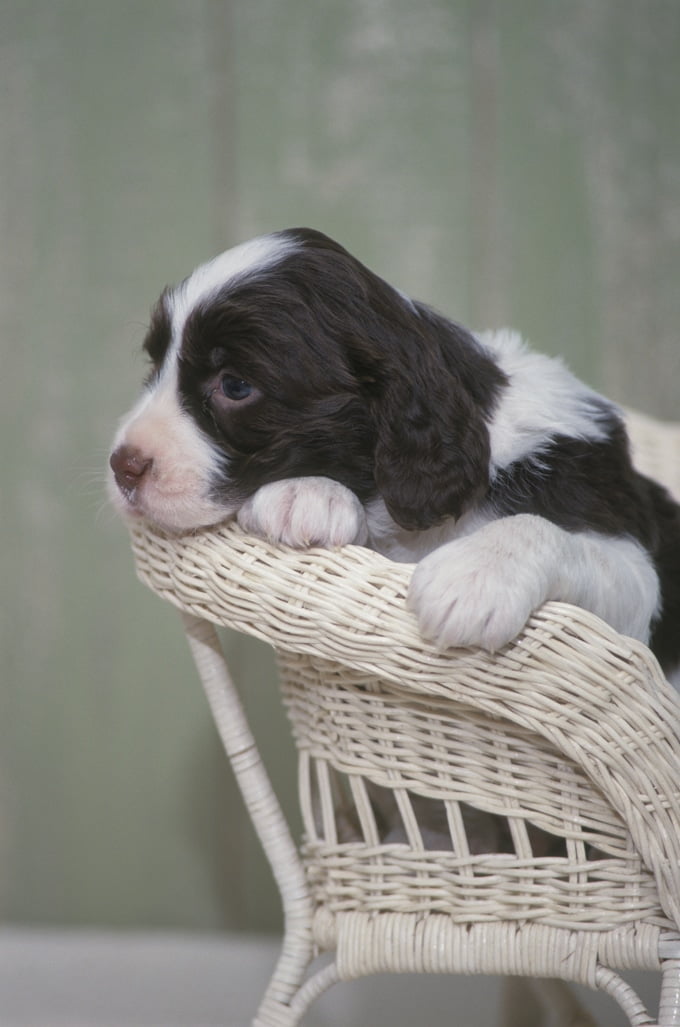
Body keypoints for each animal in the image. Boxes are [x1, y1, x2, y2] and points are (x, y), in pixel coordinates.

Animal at [109, 224, 680, 681]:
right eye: (155, 365)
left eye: (235, 385)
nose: (123, 466)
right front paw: (304, 493)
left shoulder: (632, 575)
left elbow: (546, 530)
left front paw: (476, 577)